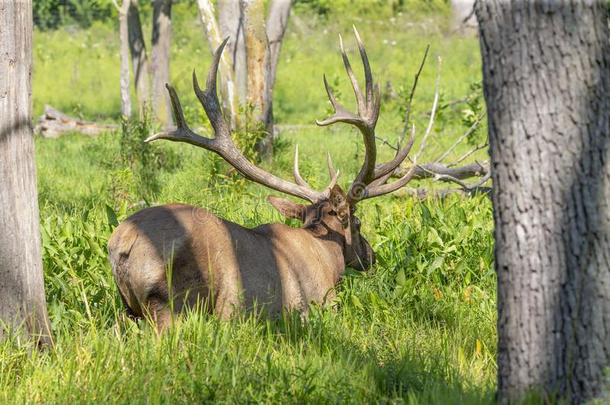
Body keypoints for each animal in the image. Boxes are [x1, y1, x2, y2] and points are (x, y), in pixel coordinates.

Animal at [105, 30, 422, 330]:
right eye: (357, 222)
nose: (371, 256)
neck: (327, 255)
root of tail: (123, 244)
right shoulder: (321, 302)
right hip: (175, 302)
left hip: (128, 308)